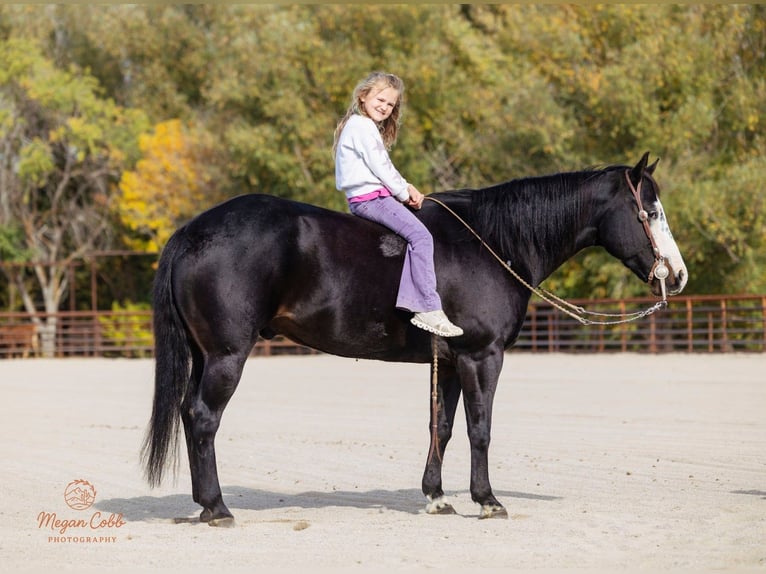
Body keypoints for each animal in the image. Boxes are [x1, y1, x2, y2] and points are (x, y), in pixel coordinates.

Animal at [142, 152, 687, 526]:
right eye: (652, 211)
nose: (678, 276)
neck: (493, 242)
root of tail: (192, 231)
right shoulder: (481, 356)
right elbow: (480, 429)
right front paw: (487, 500)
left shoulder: (448, 361)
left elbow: (440, 428)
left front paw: (437, 496)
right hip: (227, 355)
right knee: (204, 418)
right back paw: (217, 508)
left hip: (204, 355)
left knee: (190, 415)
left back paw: (204, 504)